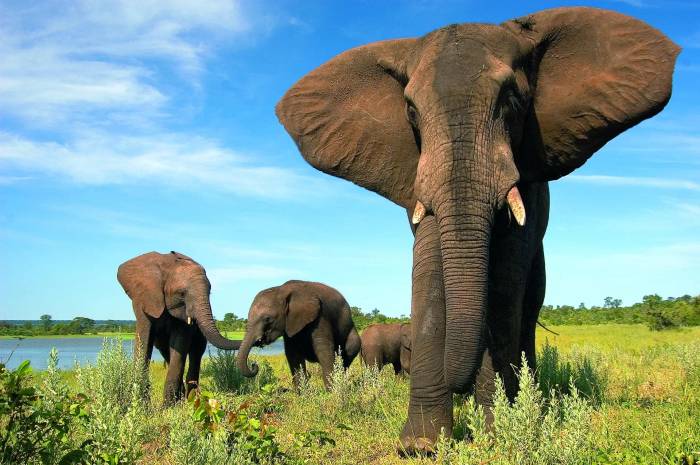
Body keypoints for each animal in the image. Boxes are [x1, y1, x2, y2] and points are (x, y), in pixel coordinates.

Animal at [117, 251, 242, 405]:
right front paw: (141, 404)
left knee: (195, 353)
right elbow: (144, 342)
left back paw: (191, 399)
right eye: (182, 293)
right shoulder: (143, 300)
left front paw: (167, 407)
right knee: (166, 352)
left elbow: (180, 342)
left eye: (209, 293)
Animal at [275, 7, 678, 453]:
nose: (459, 385)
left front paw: (496, 433)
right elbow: (429, 272)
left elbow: (502, 283)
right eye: (410, 110)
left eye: (513, 100)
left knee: (526, 308)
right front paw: (421, 446)